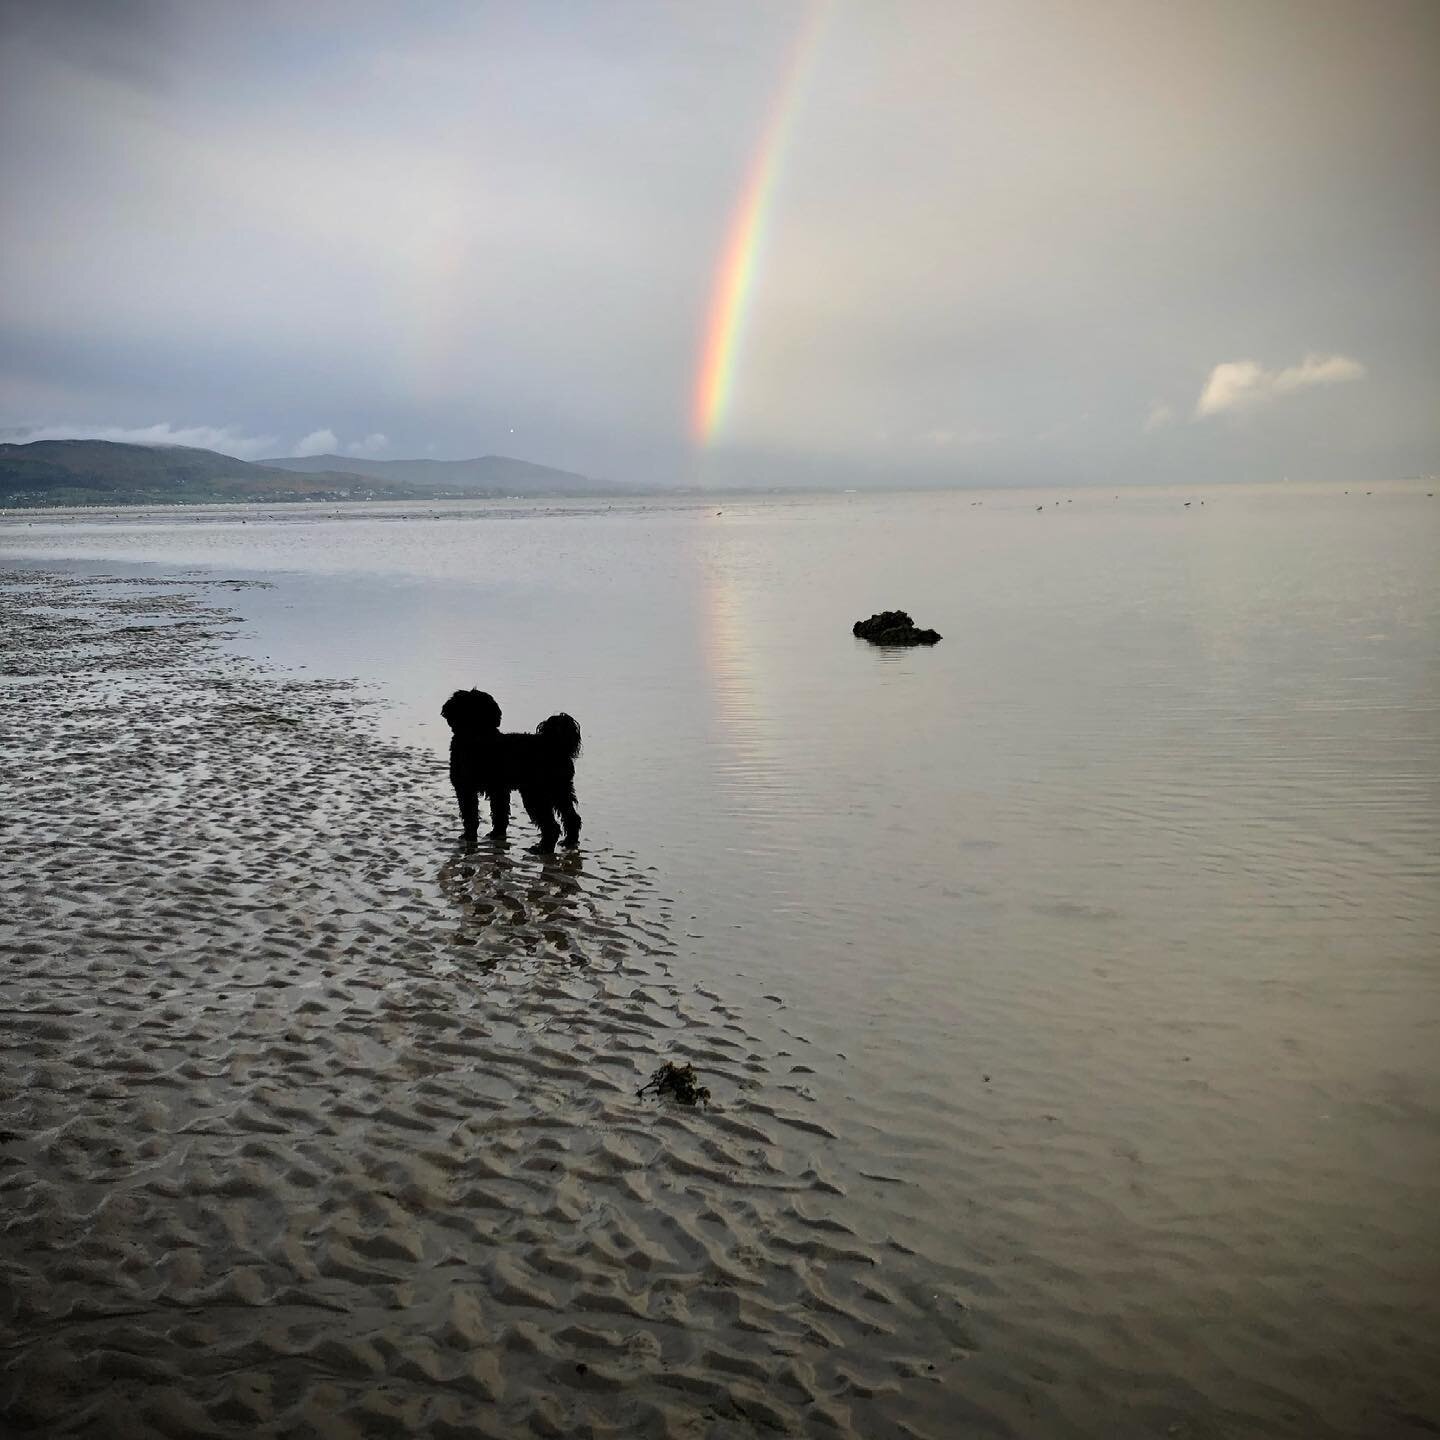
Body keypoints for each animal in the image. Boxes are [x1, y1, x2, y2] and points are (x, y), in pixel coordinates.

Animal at [437, 688, 578, 846]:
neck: (478, 738)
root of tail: (555, 743)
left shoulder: (471, 788)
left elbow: (474, 814)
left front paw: (470, 835)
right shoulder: (495, 790)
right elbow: (498, 814)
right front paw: (496, 834)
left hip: (536, 792)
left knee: (552, 824)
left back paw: (543, 846)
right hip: (559, 789)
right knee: (572, 816)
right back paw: (569, 841)